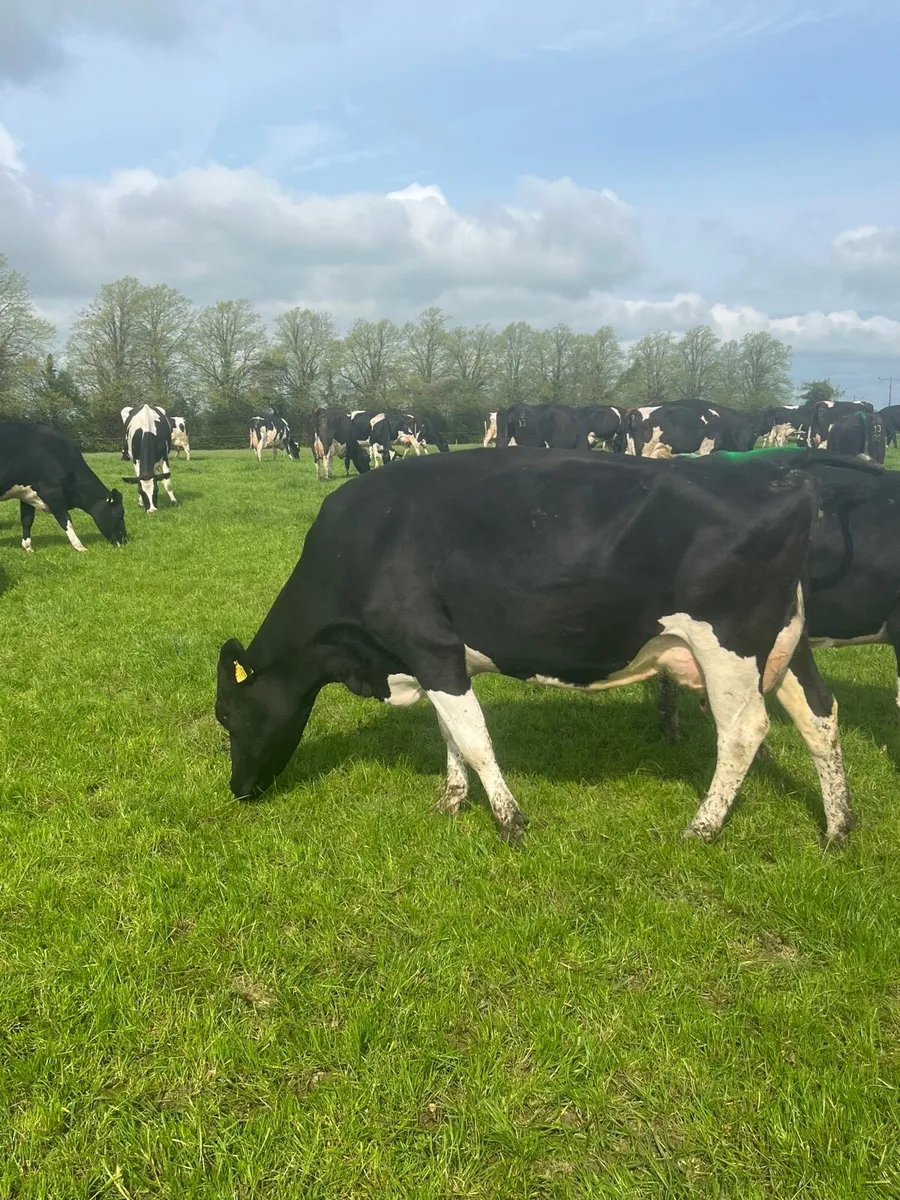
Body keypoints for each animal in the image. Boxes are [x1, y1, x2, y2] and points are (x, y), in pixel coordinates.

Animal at [0, 420, 127, 552]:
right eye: (120, 514)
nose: (125, 541)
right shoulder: (51, 491)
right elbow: (65, 519)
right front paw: (80, 547)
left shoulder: (26, 494)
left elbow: (27, 520)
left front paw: (29, 548)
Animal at [215, 447, 859, 848]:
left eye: (226, 716)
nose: (238, 791)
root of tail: (784, 475)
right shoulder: (434, 659)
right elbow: (451, 733)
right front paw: (451, 802)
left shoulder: (429, 647)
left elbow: (474, 740)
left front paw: (510, 822)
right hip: (788, 641)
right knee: (820, 715)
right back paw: (838, 829)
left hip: (729, 644)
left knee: (745, 731)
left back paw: (701, 829)